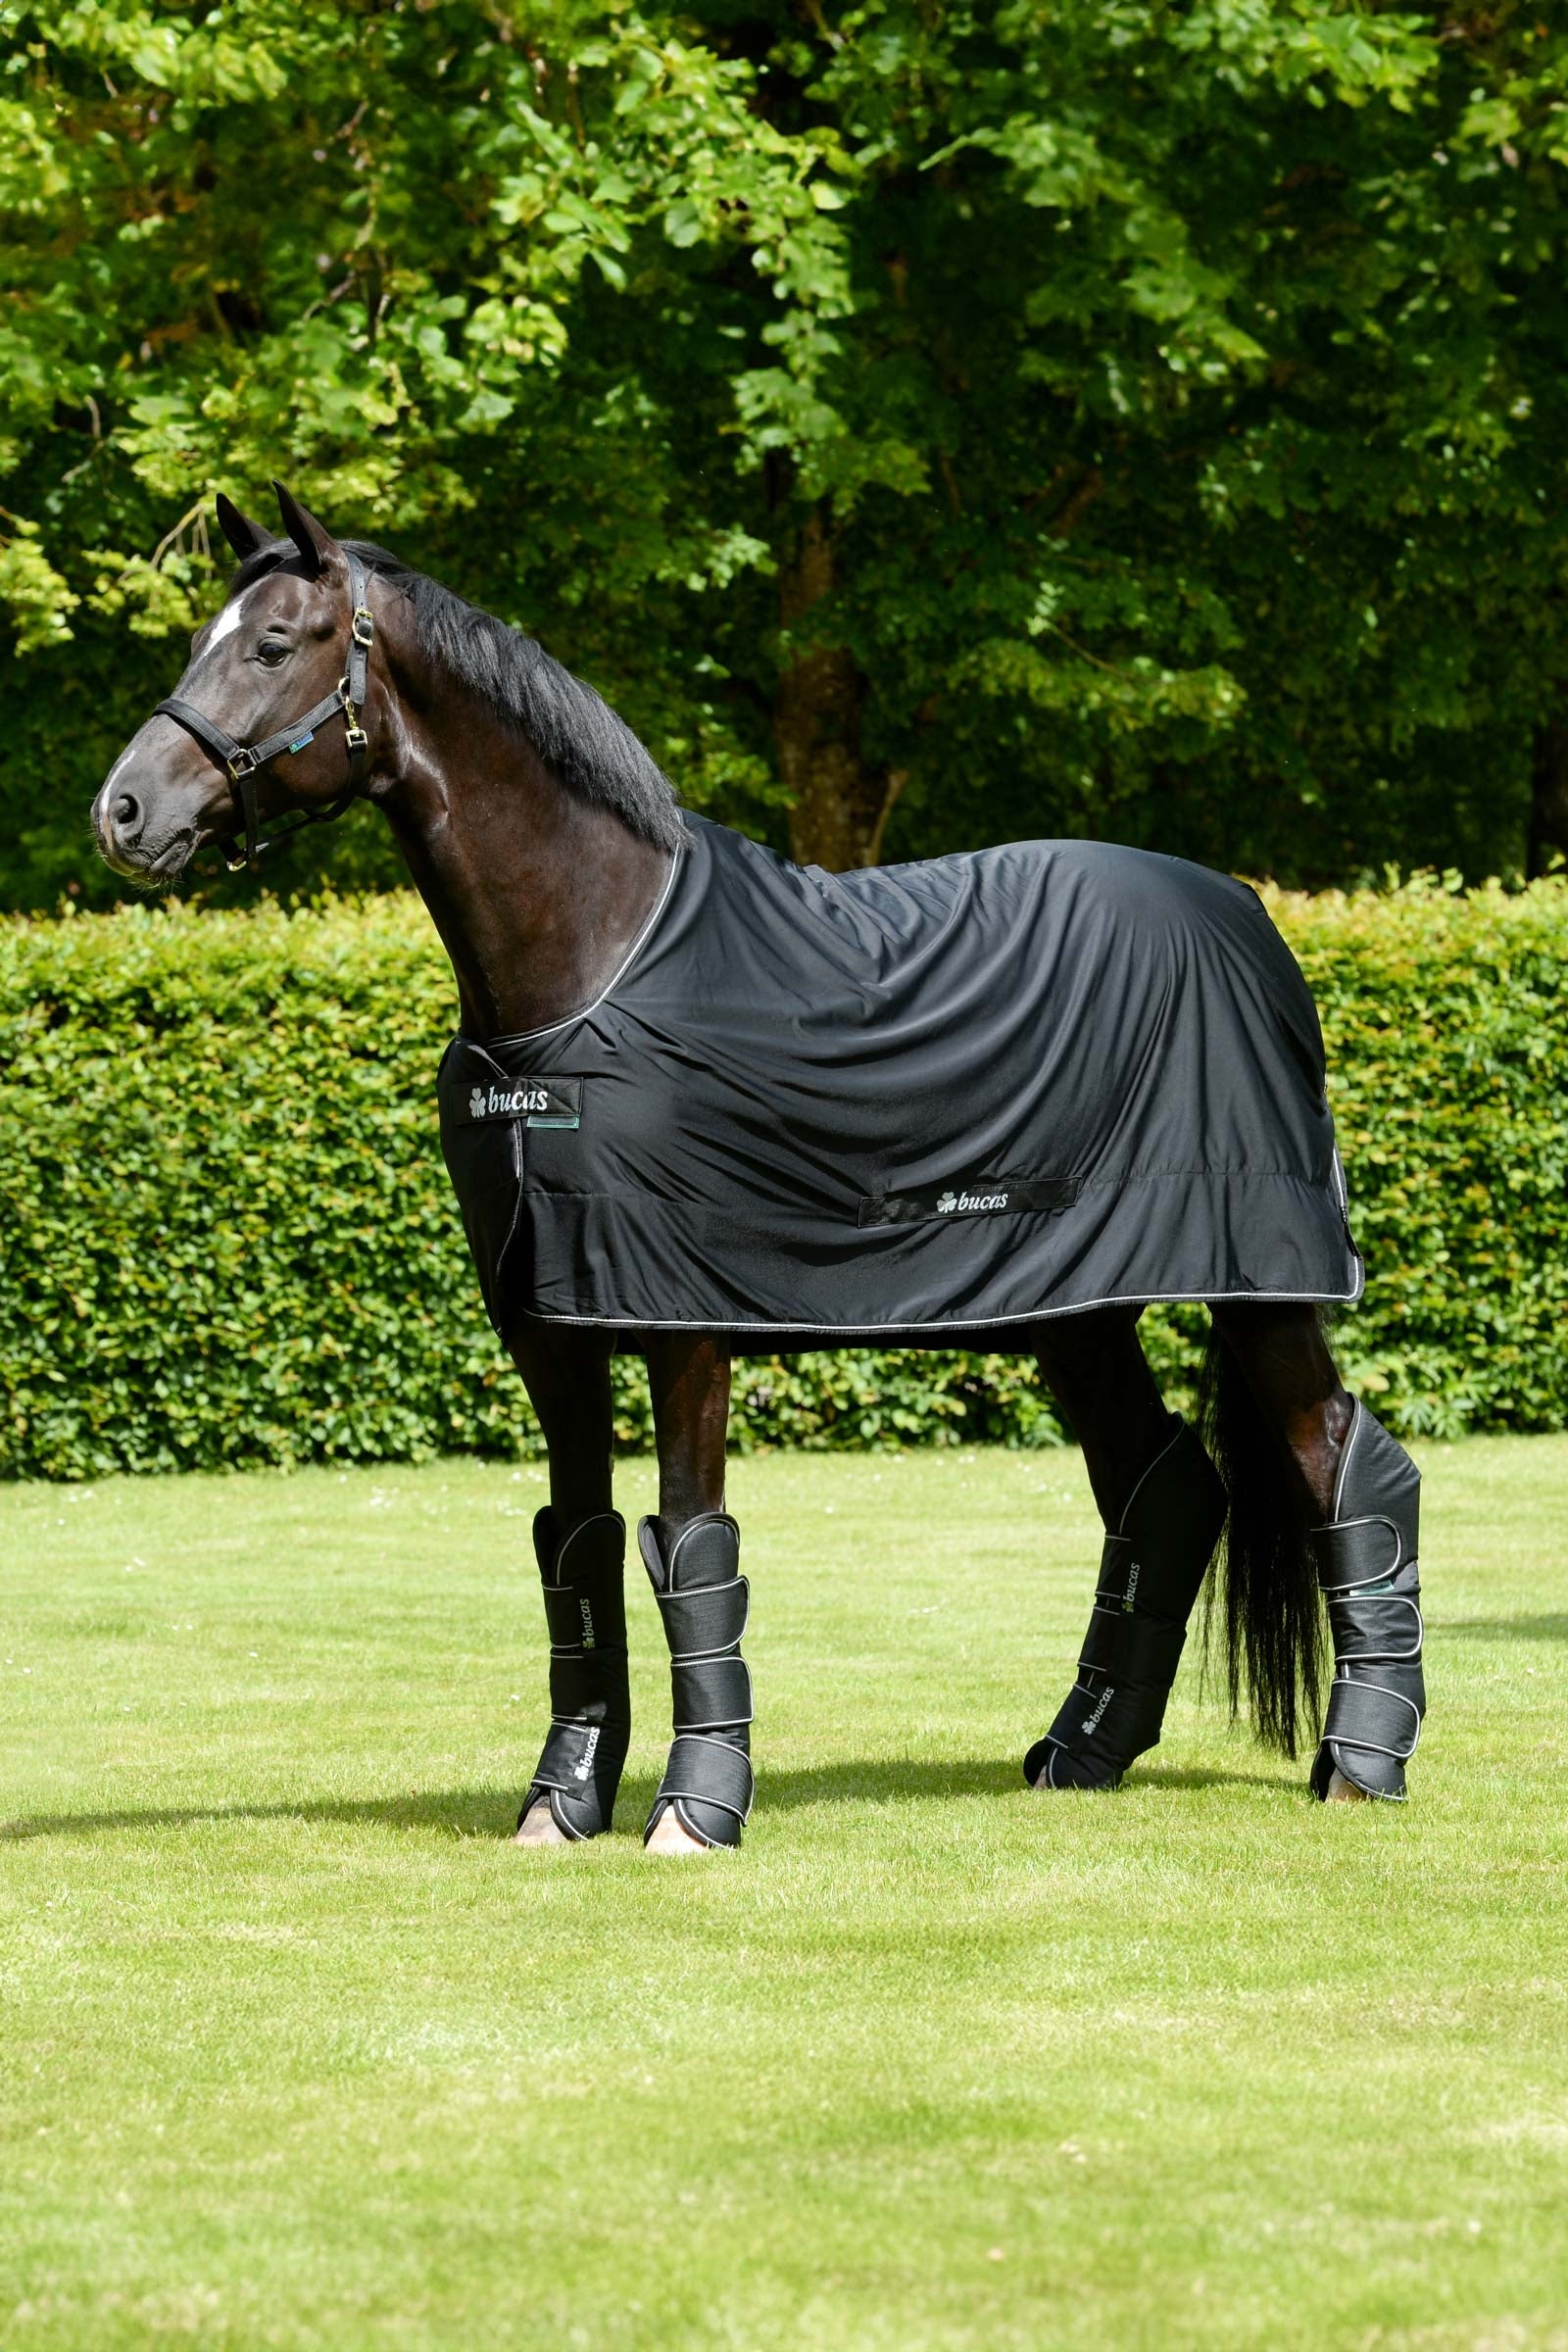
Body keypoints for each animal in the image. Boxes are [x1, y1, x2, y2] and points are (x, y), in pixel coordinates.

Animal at [92, 483, 1426, 1854]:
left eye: (272, 643)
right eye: (199, 637)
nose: (125, 813)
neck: (592, 966)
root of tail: (1246, 917)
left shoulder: (682, 1312)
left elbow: (689, 1543)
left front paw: (695, 1812)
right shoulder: (550, 1320)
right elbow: (575, 1546)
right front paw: (561, 1803)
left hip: (1258, 1283)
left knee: (1347, 1464)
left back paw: (1359, 1764)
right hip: (1077, 1306)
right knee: (1162, 1491)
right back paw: (1081, 1752)